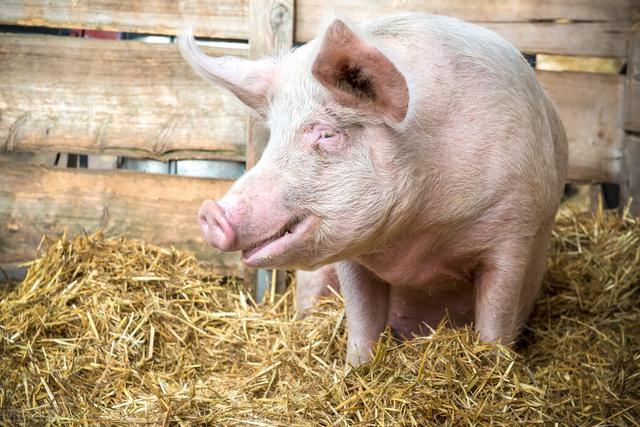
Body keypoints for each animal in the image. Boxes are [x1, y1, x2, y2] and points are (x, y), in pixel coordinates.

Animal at [179, 14, 564, 368]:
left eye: (327, 134)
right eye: (274, 136)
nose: (210, 212)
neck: (416, 241)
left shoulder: (514, 229)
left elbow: (496, 318)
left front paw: (492, 365)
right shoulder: (349, 252)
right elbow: (362, 319)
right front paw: (356, 369)